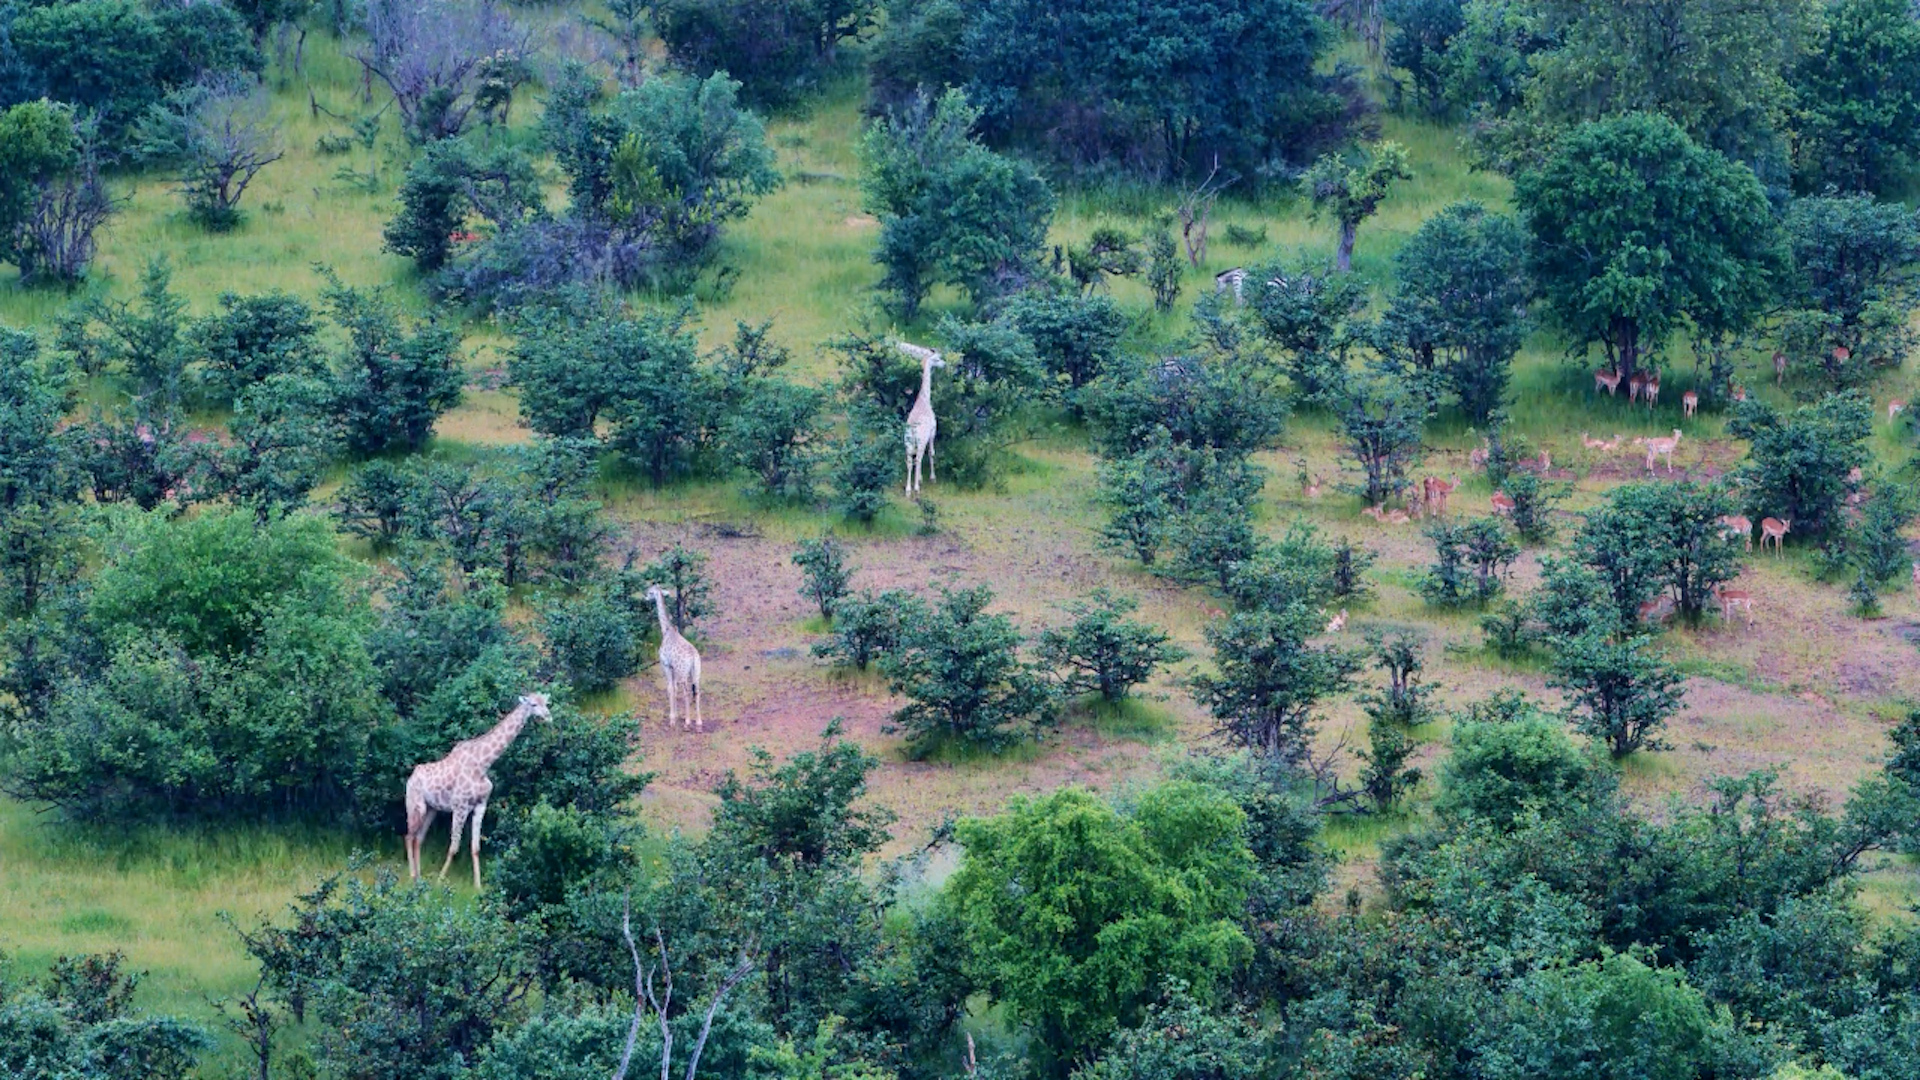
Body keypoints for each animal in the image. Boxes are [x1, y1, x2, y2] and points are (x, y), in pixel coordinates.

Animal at [404, 692, 550, 889]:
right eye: (533, 704)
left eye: (546, 703)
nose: (548, 716)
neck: (482, 766)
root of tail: (411, 777)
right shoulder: (460, 807)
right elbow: (454, 847)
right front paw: (440, 881)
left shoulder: (481, 806)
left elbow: (475, 847)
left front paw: (478, 886)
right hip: (415, 804)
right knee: (408, 835)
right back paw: (412, 875)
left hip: (431, 809)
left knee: (418, 838)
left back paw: (419, 878)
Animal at [647, 584, 704, 731]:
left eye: (650, 592)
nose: (645, 597)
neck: (666, 630)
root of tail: (694, 657)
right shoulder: (672, 667)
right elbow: (674, 688)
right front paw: (676, 715)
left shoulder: (666, 664)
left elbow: (670, 688)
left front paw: (672, 719)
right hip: (696, 672)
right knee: (697, 692)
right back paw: (699, 723)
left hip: (683, 672)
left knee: (687, 692)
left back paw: (688, 722)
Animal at [899, 342, 946, 496]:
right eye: (937, 359)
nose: (944, 364)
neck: (924, 399)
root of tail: (913, 430)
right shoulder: (932, 433)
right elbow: (931, 453)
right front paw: (931, 478)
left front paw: (920, 478)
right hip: (919, 441)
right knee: (918, 459)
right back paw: (916, 488)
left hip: (907, 443)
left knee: (909, 460)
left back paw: (908, 490)